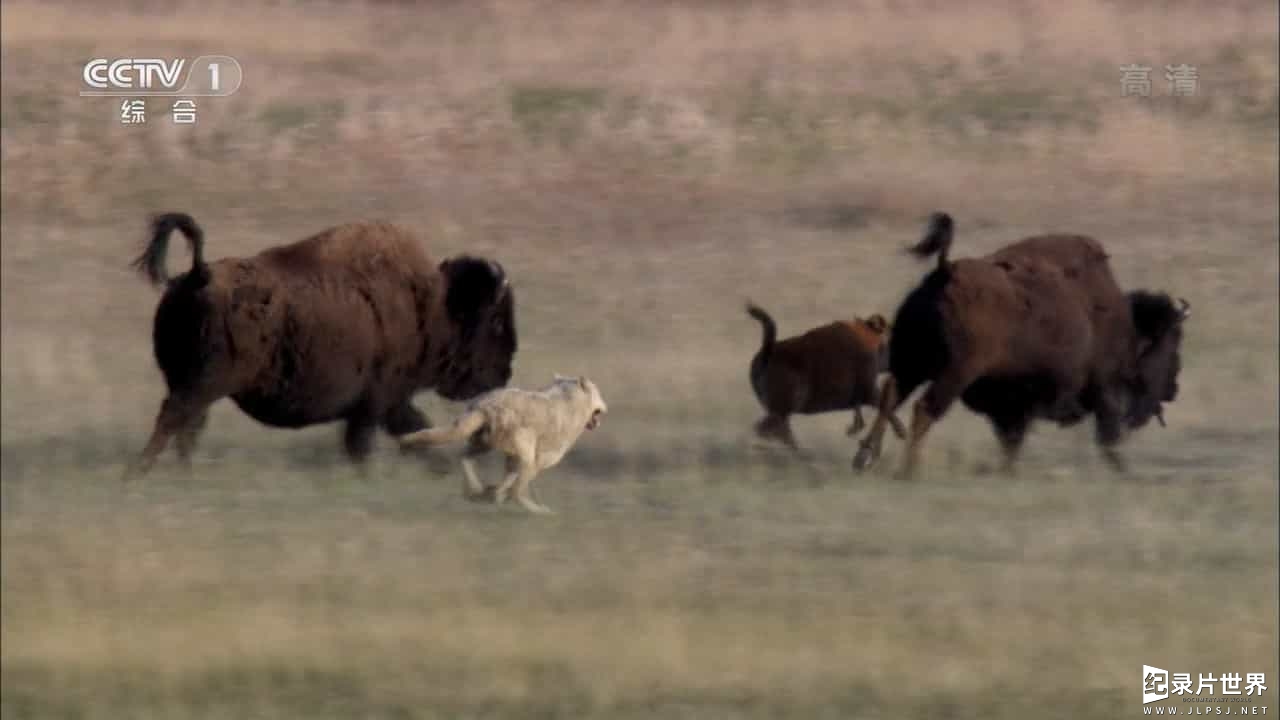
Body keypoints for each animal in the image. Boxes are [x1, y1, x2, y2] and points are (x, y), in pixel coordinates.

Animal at [122, 210, 517, 476]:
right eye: (496, 322)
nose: (504, 373)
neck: (435, 304)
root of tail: (198, 273)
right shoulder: (378, 402)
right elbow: (369, 443)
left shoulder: (390, 404)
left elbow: (416, 430)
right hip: (202, 385)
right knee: (173, 421)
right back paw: (137, 474)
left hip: (195, 386)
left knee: (187, 428)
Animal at [742, 301, 911, 448]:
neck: (872, 341)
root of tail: (767, 352)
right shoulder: (868, 390)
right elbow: (884, 407)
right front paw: (902, 433)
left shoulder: (860, 396)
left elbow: (863, 415)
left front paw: (851, 430)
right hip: (787, 406)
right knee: (772, 429)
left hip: (782, 411)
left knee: (777, 430)